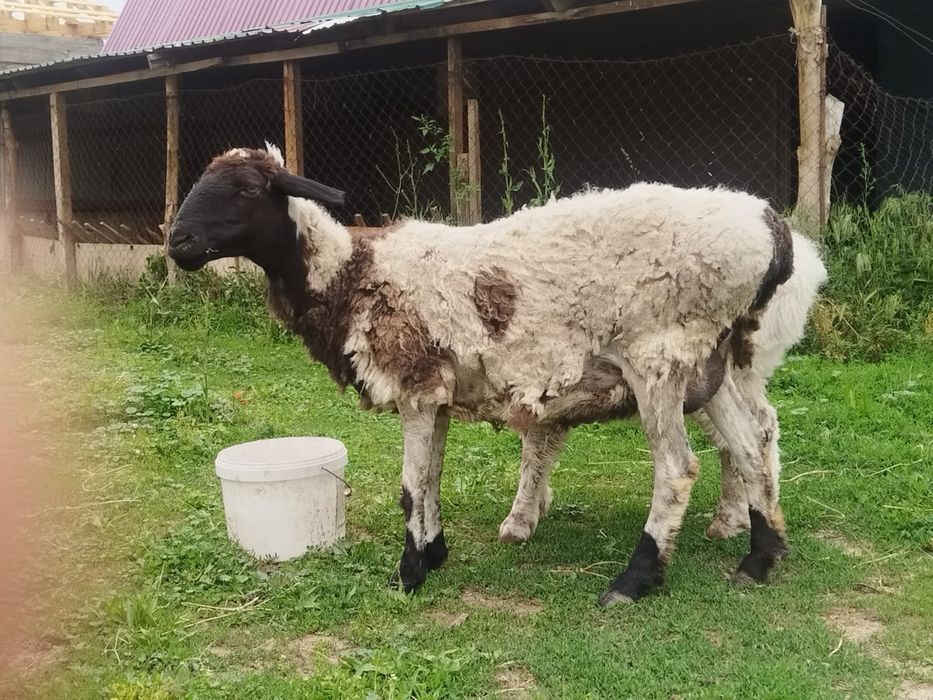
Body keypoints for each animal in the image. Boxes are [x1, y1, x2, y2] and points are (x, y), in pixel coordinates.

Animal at [168, 144, 800, 606]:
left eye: (248, 189)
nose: (178, 241)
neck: (348, 272)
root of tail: (772, 229)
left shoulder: (416, 383)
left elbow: (409, 485)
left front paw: (408, 574)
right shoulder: (437, 393)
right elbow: (429, 480)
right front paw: (433, 554)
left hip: (659, 356)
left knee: (678, 468)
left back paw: (634, 580)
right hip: (712, 362)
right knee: (750, 446)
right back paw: (760, 558)